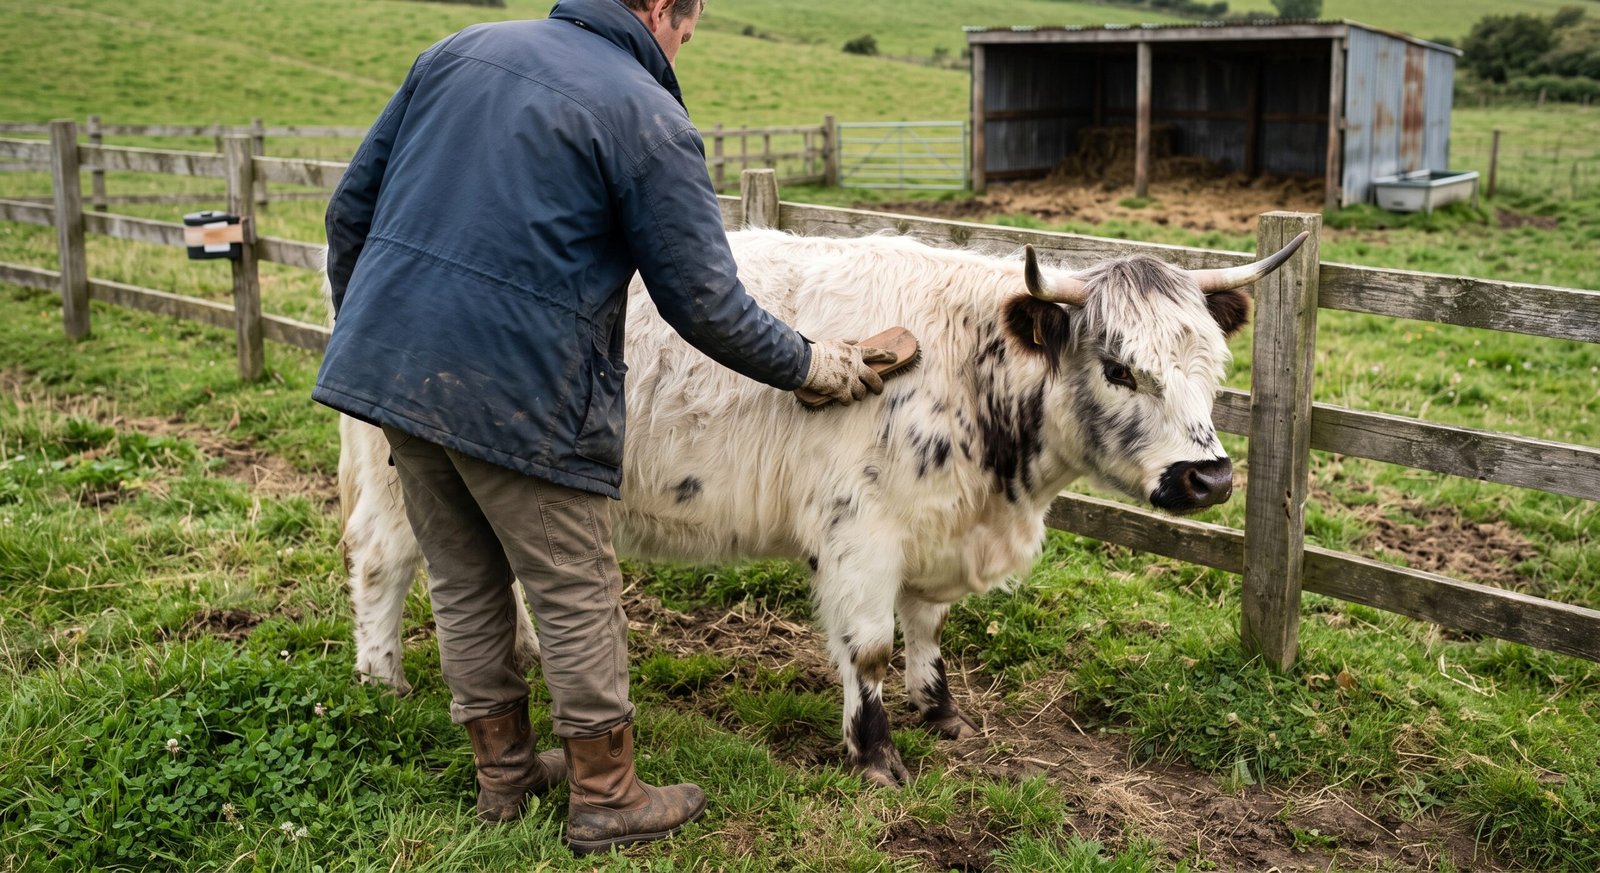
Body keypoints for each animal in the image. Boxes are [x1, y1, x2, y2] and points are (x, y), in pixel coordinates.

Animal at [336, 227, 1306, 787]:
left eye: (1213, 363)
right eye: (1117, 367)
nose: (1209, 479)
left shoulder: (932, 527)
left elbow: (927, 631)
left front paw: (942, 713)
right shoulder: (860, 535)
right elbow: (868, 647)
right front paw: (876, 754)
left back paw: (529, 652)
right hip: (396, 476)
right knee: (382, 564)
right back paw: (381, 681)